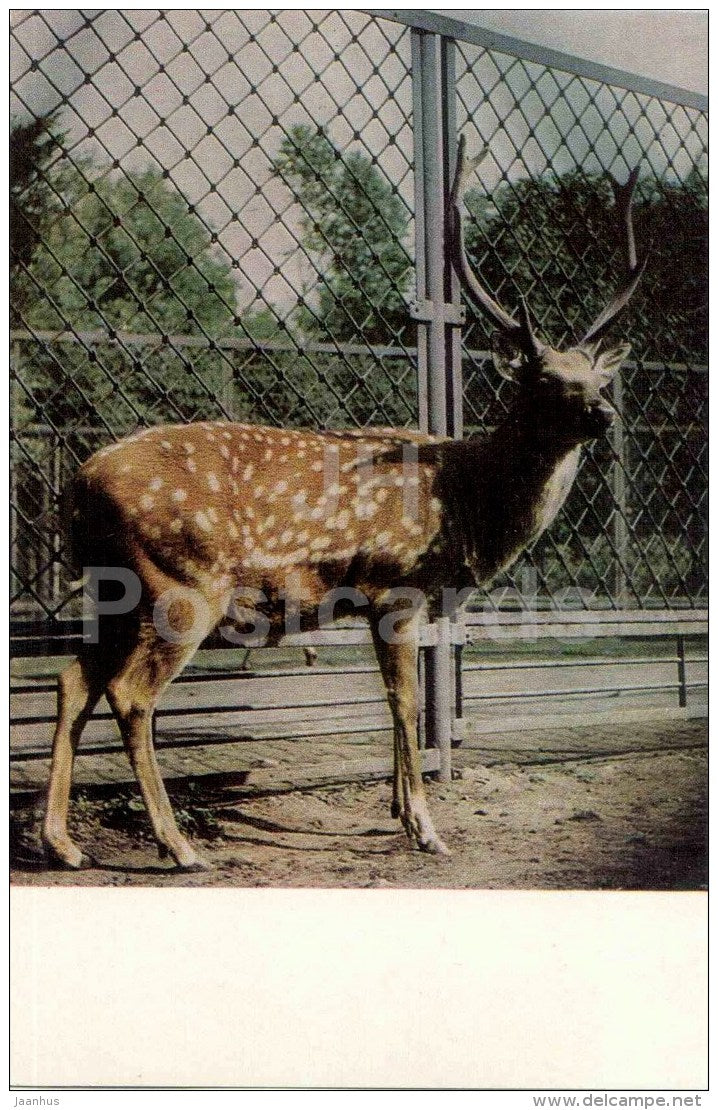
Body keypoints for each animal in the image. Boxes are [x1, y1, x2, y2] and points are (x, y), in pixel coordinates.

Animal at [42, 136, 646, 872]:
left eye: (594, 376)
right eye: (544, 378)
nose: (604, 413)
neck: (469, 501)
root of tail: (77, 485)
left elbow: (397, 705)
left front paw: (398, 812)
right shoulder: (394, 583)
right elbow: (405, 705)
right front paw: (426, 827)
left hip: (114, 591)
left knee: (73, 681)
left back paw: (64, 843)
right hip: (179, 582)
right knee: (130, 694)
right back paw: (177, 846)